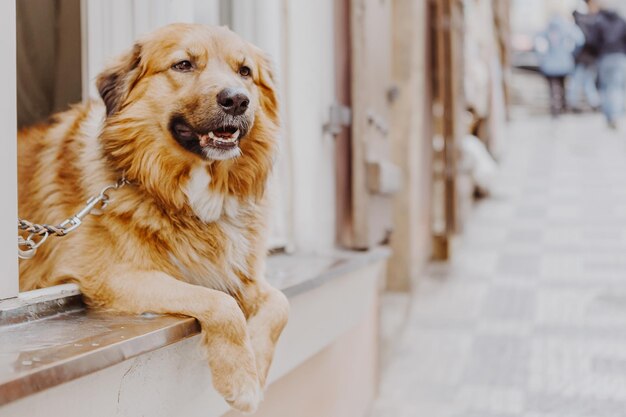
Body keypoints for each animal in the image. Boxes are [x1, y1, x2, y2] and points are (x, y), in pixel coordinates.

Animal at [17, 24, 288, 412]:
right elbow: (220, 303)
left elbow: (281, 304)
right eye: (184, 64)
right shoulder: (116, 277)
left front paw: (259, 364)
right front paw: (241, 379)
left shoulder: (241, 274)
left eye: (245, 72)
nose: (237, 100)